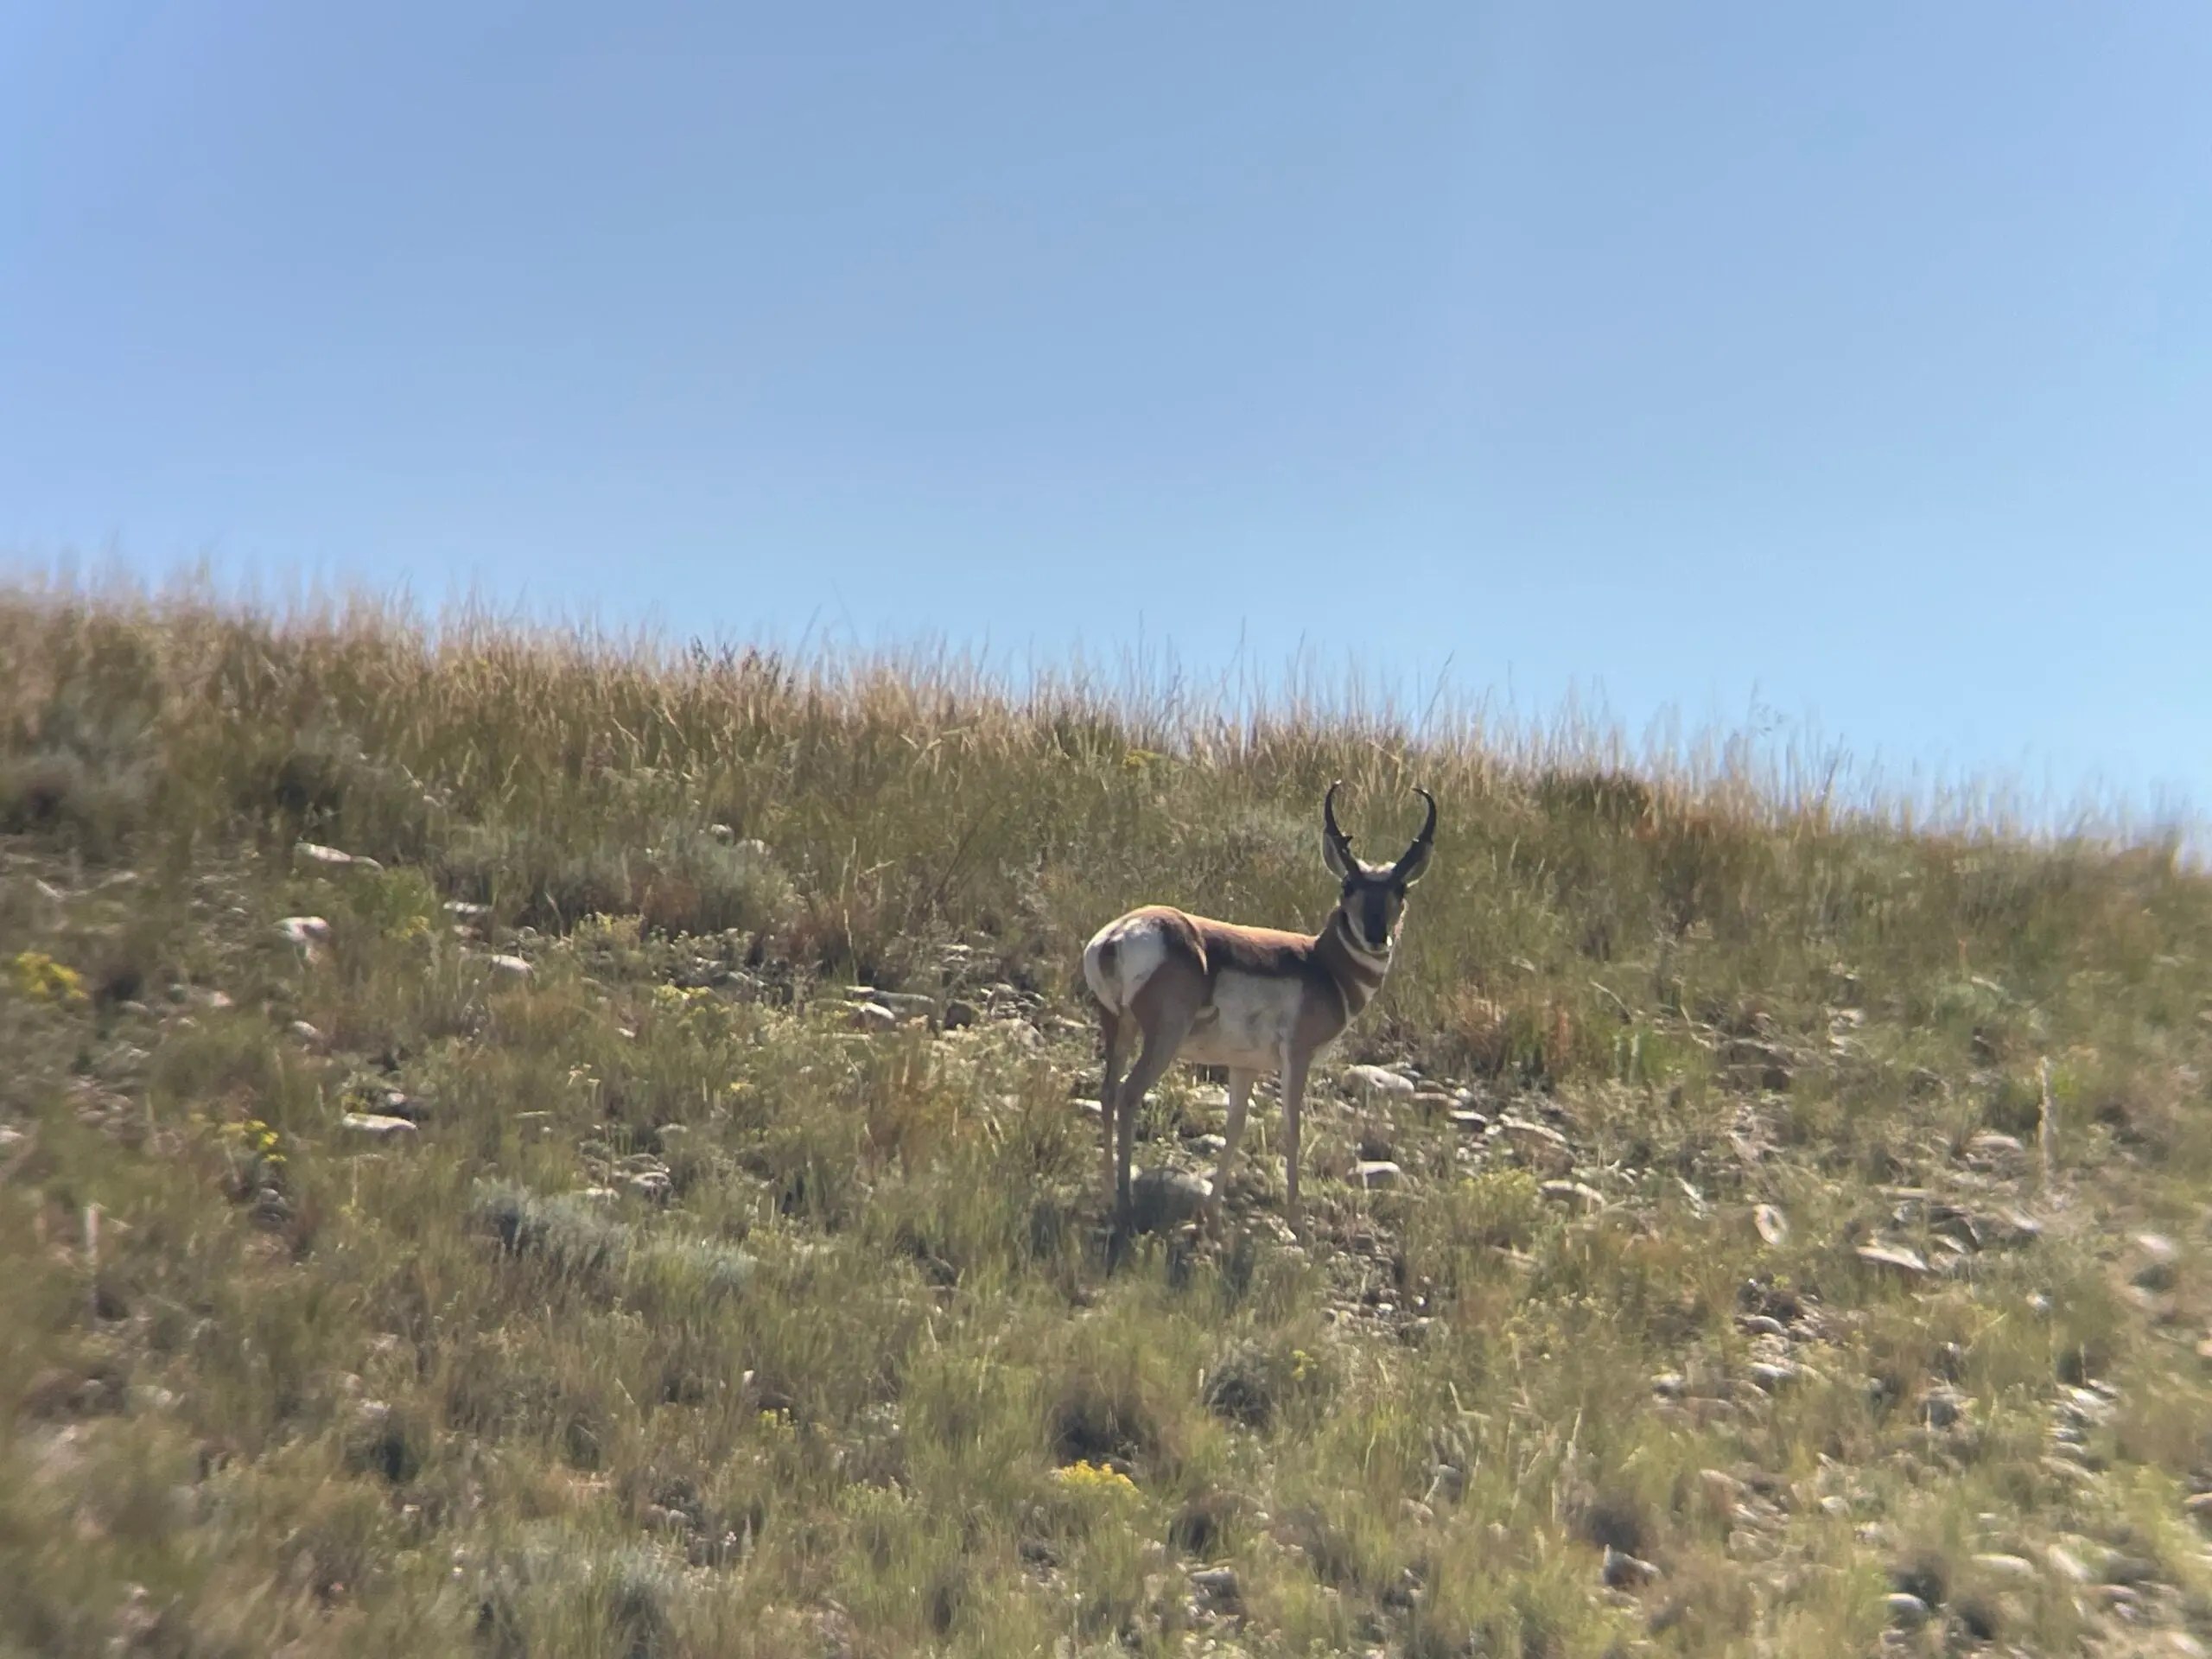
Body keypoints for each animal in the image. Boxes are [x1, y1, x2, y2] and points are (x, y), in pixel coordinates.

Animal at [1084, 787, 1433, 1238]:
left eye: (1400, 889)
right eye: (1348, 884)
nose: (1377, 936)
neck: (1321, 964)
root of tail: (1117, 935)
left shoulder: (1243, 1066)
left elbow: (1235, 1127)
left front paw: (1213, 1215)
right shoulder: (1297, 1057)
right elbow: (1292, 1127)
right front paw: (1295, 1219)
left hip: (1118, 1026)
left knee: (1108, 1093)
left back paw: (1109, 1194)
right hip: (1163, 1038)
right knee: (1129, 1094)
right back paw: (1125, 1203)